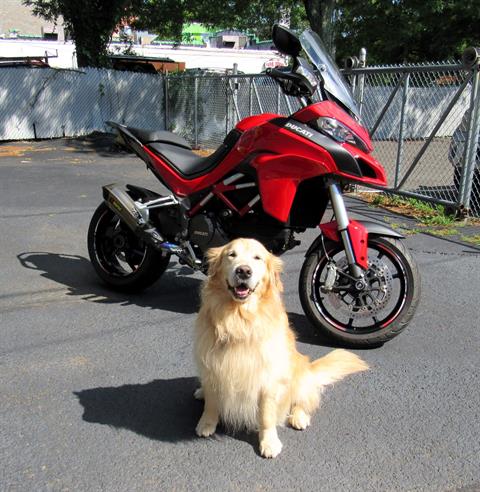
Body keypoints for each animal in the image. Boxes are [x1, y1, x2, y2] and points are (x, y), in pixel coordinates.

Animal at [193, 238, 370, 458]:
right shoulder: (211, 368)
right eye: (231, 255)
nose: (244, 271)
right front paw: (207, 423)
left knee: (304, 399)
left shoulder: (268, 378)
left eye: (257, 258)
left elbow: (266, 415)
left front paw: (269, 442)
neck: (239, 319)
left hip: (299, 373)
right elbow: (211, 402)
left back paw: (299, 417)